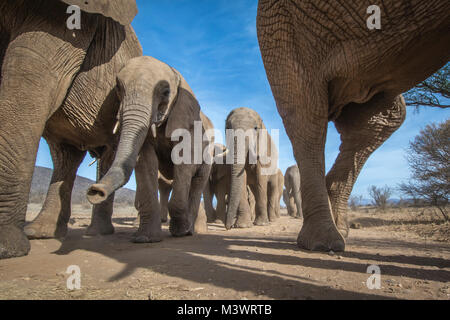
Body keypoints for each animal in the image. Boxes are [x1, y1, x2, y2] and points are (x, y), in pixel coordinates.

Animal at [0, 0, 142, 258]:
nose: (94, 192)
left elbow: (28, 83)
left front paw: (5, 248)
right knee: (66, 156)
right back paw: (42, 233)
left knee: (101, 155)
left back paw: (92, 233)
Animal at [89, 57, 215, 242]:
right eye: (118, 87)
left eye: (166, 92)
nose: (95, 191)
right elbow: (145, 162)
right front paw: (145, 238)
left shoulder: (188, 127)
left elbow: (184, 164)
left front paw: (180, 232)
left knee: (198, 182)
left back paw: (190, 231)